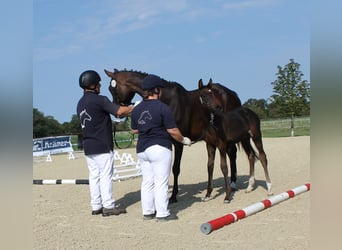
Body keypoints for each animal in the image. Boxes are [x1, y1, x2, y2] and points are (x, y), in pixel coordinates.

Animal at [104, 69, 240, 203]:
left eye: (113, 89)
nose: (117, 112)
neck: (167, 100)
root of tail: (231, 93)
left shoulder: (179, 143)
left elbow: (175, 168)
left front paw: (173, 196)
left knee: (232, 154)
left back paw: (232, 185)